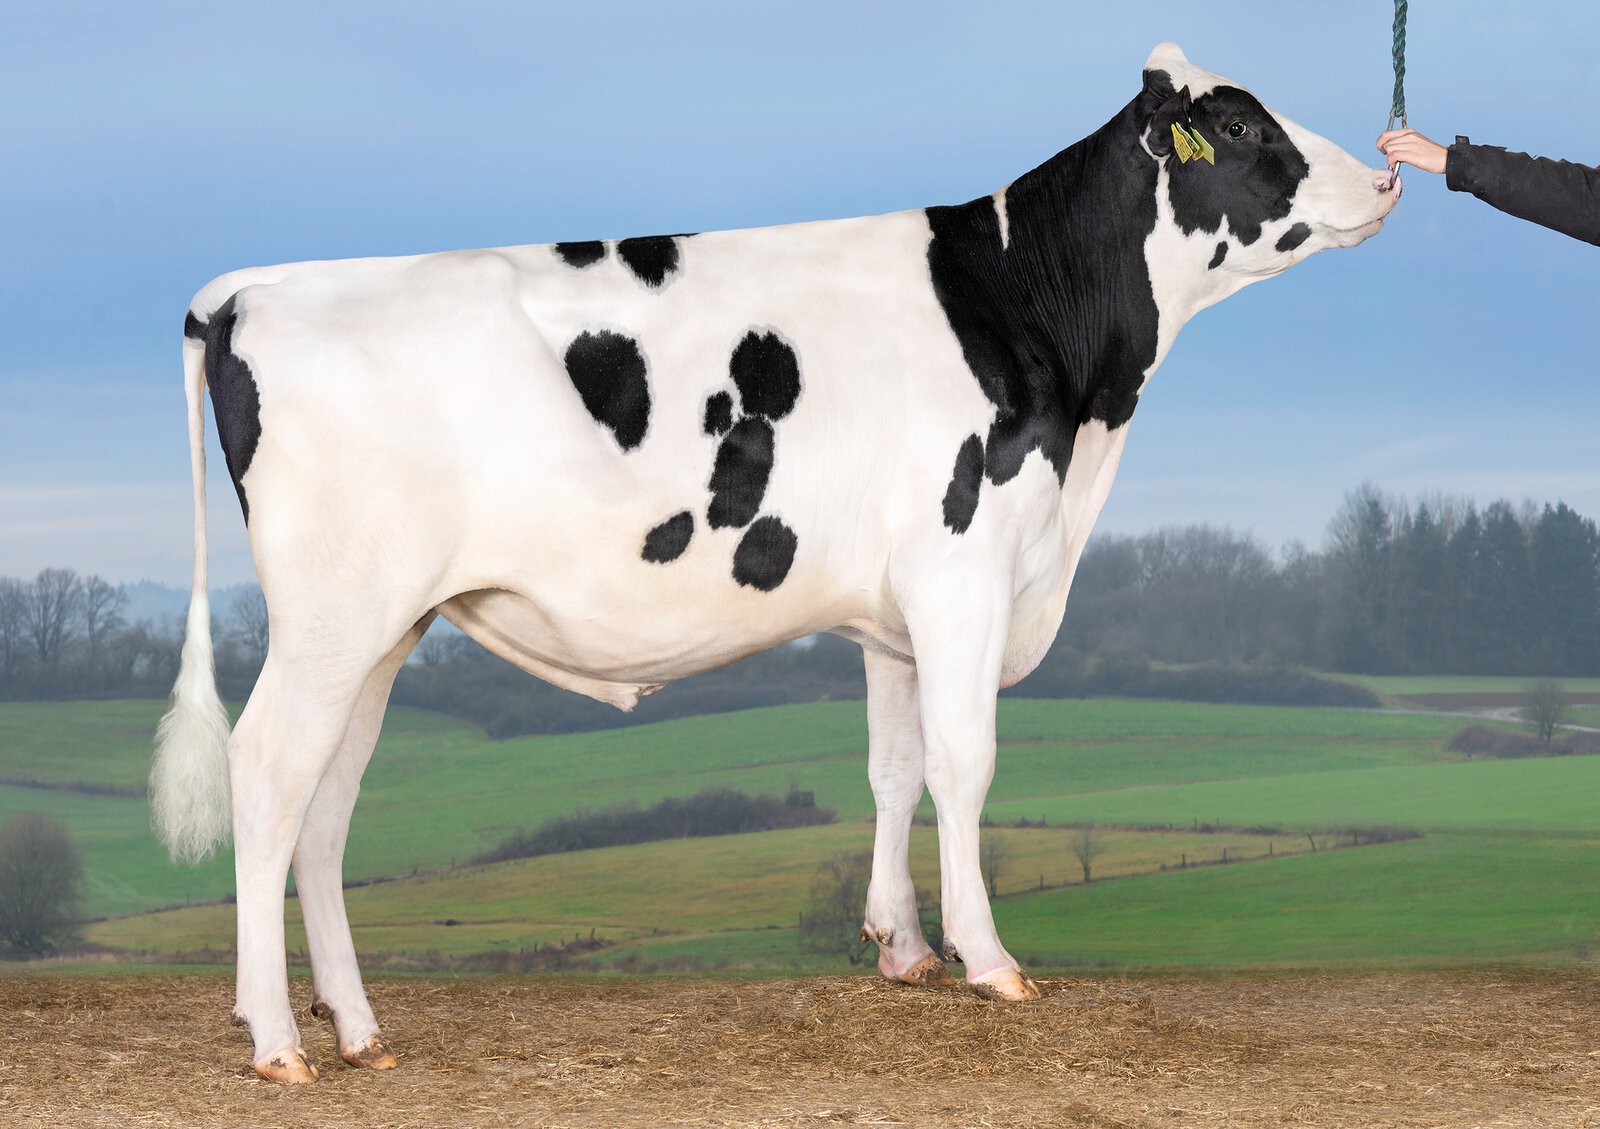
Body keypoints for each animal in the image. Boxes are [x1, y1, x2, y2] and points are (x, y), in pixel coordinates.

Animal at [152, 43, 1400, 1082]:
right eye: (1237, 124)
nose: (1389, 179)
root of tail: (248, 290)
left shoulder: (895, 609)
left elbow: (896, 766)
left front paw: (901, 946)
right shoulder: (962, 567)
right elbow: (965, 761)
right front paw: (987, 958)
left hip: (380, 627)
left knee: (326, 802)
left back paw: (360, 1031)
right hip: (330, 618)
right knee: (267, 772)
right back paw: (276, 1041)